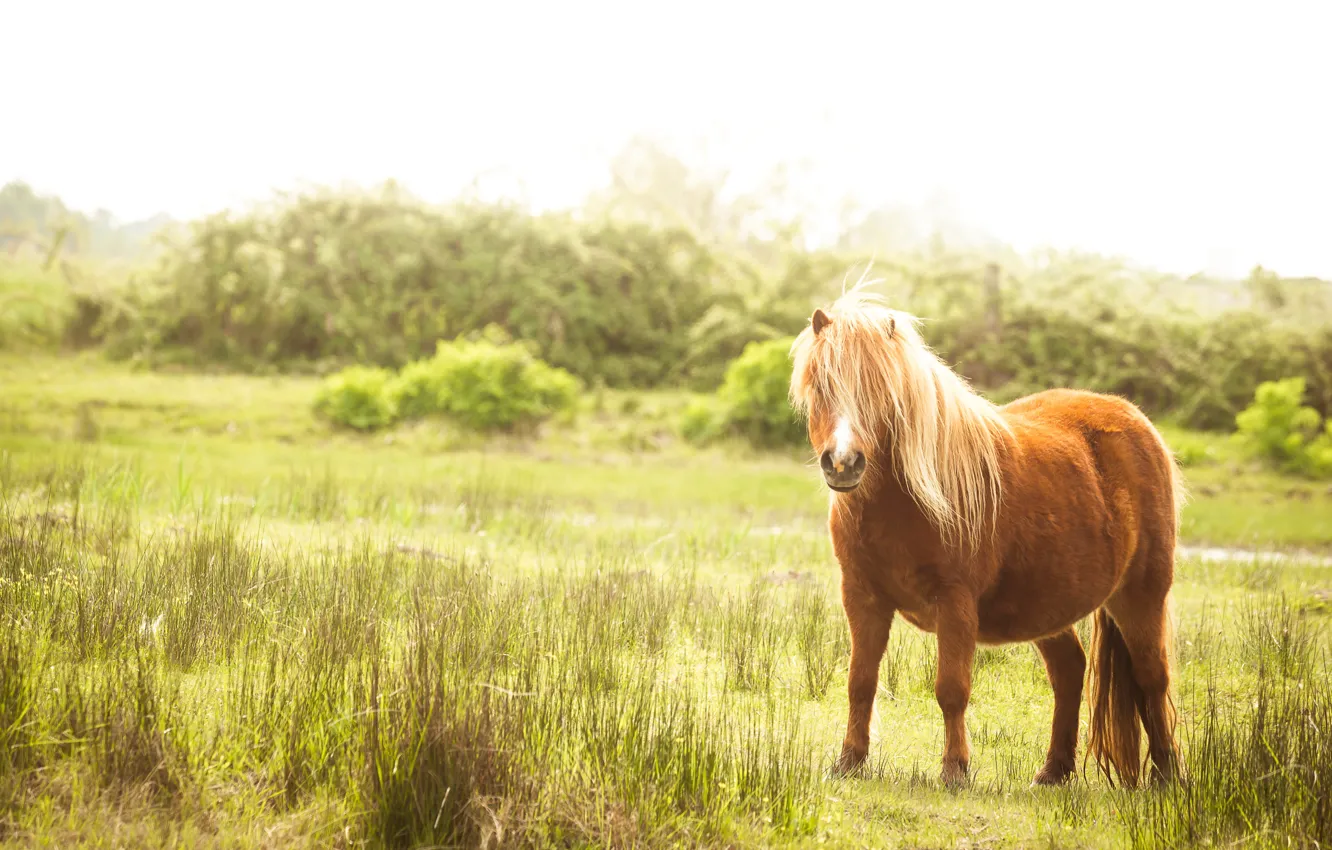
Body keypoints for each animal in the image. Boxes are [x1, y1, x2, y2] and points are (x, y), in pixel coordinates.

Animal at [788, 286, 1184, 789]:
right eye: (820, 385)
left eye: (881, 391)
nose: (843, 463)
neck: (906, 502)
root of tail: (1135, 421)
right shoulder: (862, 597)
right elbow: (861, 681)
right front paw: (849, 762)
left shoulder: (955, 601)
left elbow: (951, 688)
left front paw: (955, 771)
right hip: (1048, 605)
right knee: (1069, 670)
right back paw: (1053, 771)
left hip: (1141, 595)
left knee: (1152, 677)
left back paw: (1167, 774)